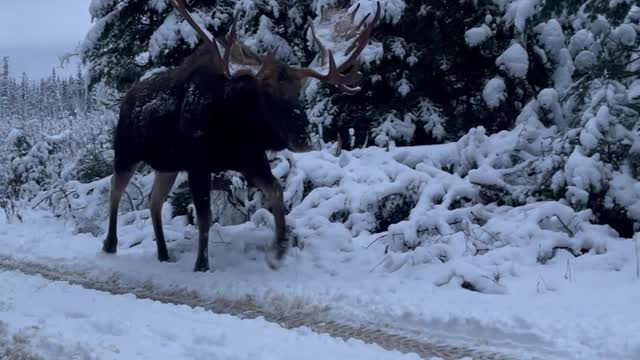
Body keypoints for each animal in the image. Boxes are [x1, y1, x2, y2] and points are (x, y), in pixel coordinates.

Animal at [101, 0, 380, 270]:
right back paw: (110, 244)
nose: (303, 139)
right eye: (267, 93)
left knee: (153, 200)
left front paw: (279, 250)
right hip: (126, 151)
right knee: (115, 189)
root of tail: (125, 100)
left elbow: (276, 191)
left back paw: (162, 252)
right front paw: (201, 263)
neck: (234, 129)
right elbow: (205, 216)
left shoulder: (251, 158)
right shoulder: (198, 163)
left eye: (298, 92)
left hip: (168, 164)